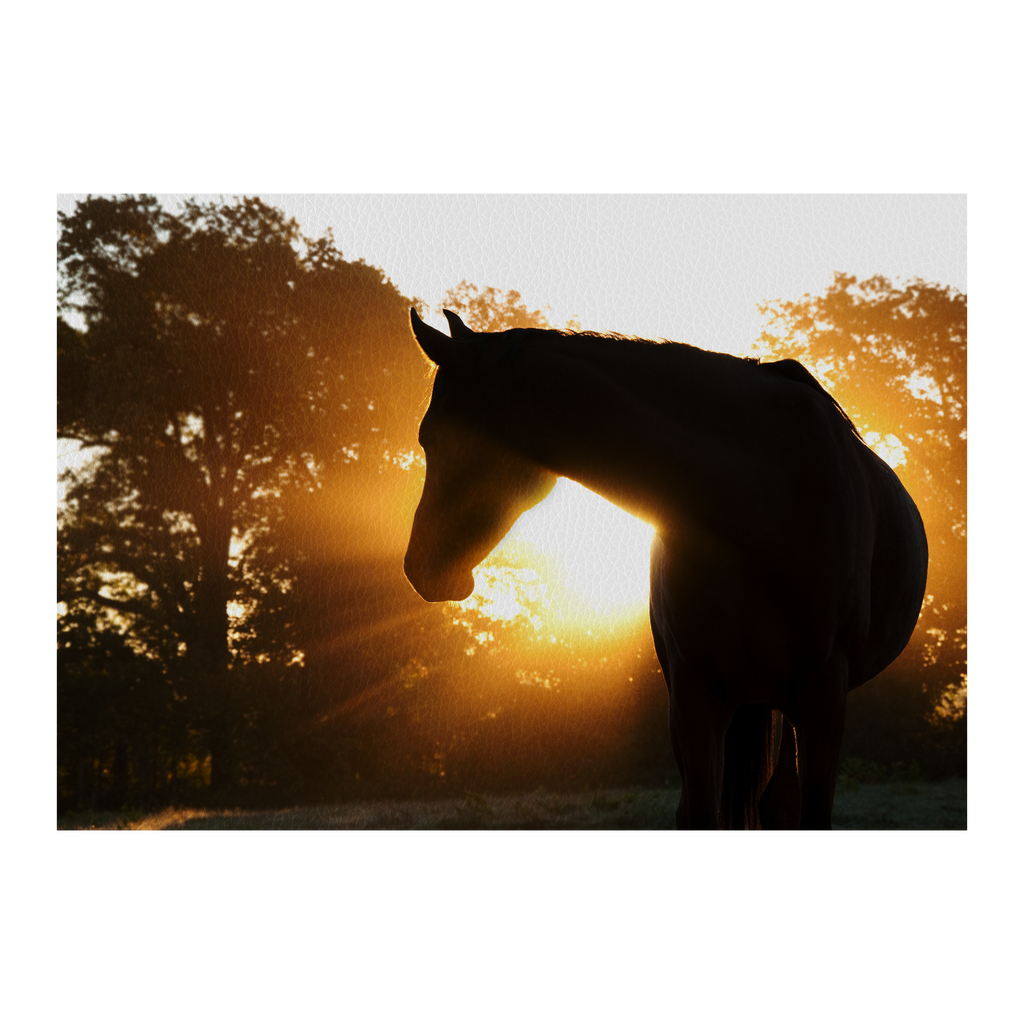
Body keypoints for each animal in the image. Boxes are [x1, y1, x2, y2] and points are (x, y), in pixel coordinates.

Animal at [401, 307, 929, 827]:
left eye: (433, 437)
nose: (419, 568)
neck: (765, 498)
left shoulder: (823, 698)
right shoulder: (694, 695)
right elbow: (699, 814)